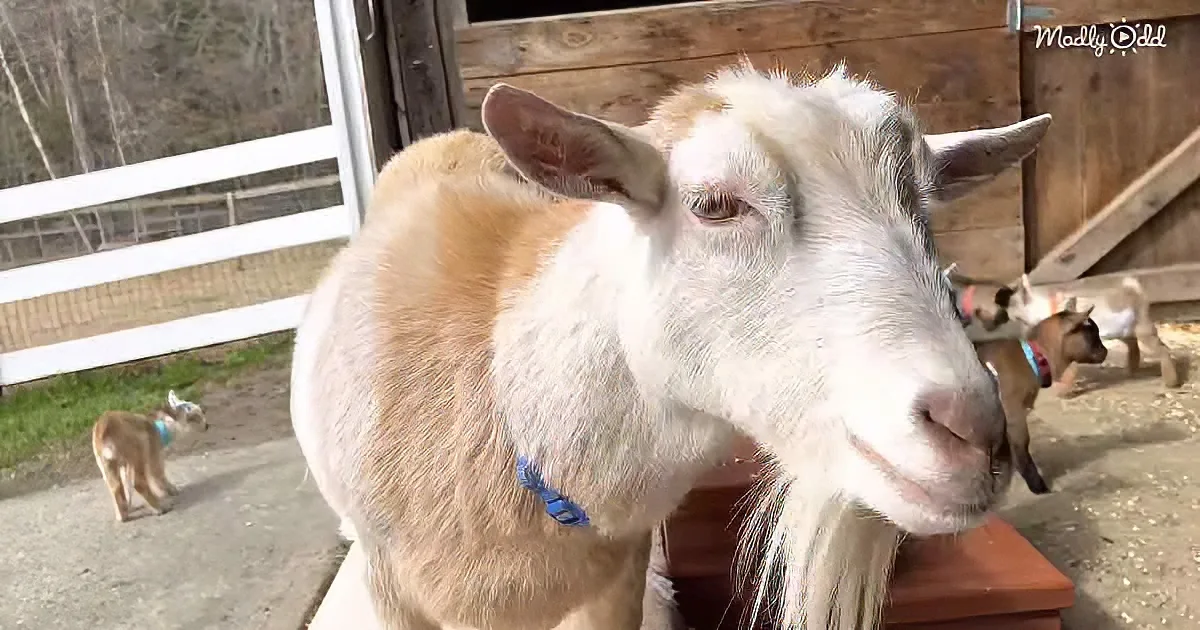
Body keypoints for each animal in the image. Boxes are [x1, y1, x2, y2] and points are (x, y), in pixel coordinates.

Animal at [91, 390, 208, 522]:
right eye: (195, 416)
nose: (207, 425)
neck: (162, 426)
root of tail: (104, 429)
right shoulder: (153, 453)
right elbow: (158, 475)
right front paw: (173, 490)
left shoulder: (124, 465)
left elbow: (126, 485)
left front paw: (128, 506)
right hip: (139, 449)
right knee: (138, 482)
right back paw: (159, 508)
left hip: (105, 463)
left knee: (115, 486)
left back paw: (122, 516)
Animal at [975, 301, 1107, 494]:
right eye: (1092, 335)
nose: (1105, 351)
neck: (1032, 357)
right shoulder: (1013, 409)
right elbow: (1021, 443)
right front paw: (1036, 484)